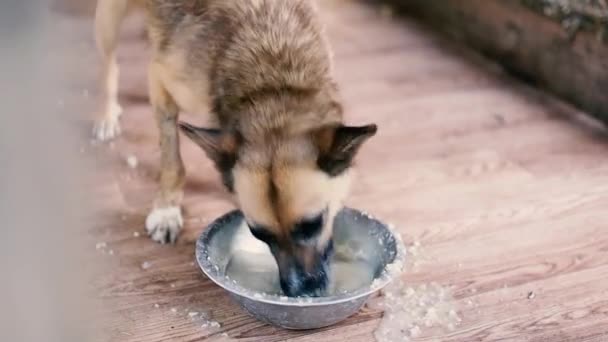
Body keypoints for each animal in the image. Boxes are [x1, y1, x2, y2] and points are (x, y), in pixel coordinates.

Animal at [95, 0, 378, 296]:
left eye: (313, 225)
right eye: (259, 234)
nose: (300, 292)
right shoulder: (162, 80)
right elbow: (172, 161)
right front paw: (166, 209)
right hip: (109, 18)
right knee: (108, 65)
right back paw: (106, 113)